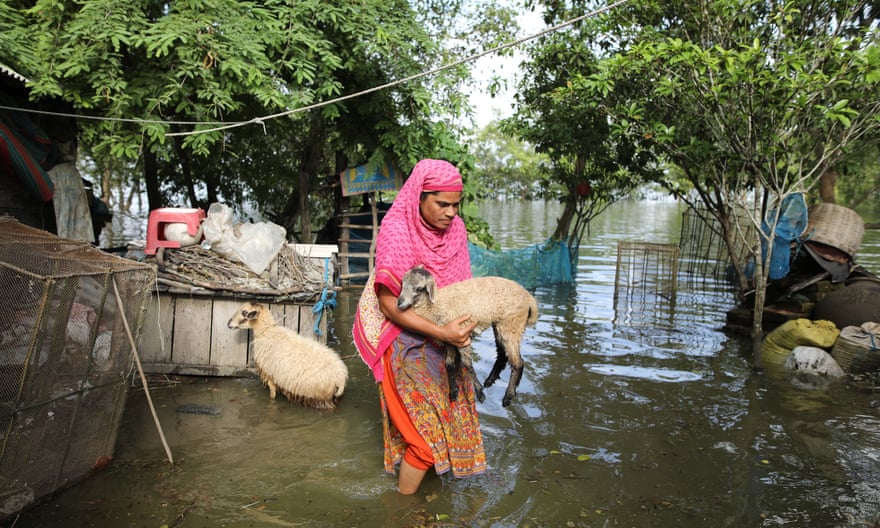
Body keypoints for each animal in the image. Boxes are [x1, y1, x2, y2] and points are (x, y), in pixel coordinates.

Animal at [398, 266, 536, 406]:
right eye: (402, 284)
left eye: (418, 288)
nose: (399, 304)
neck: (437, 304)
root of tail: (529, 298)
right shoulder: (449, 338)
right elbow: (449, 364)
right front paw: (453, 392)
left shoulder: (462, 334)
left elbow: (467, 363)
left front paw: (479, 393)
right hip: (501, 324)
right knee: (502, 355)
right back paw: (490, 381)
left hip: (512, 324)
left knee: (518, 362)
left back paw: (508, 397)